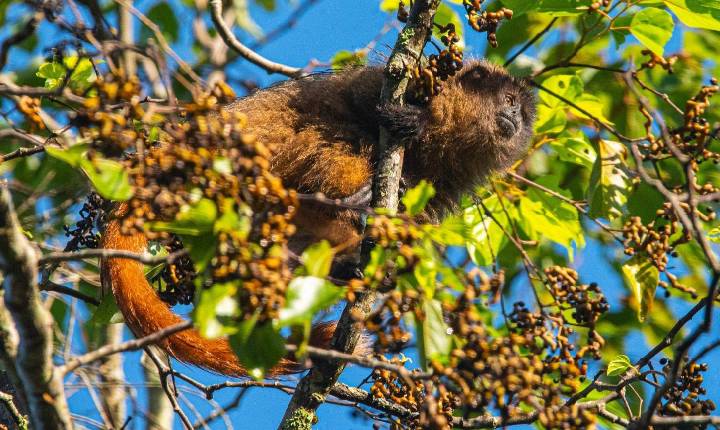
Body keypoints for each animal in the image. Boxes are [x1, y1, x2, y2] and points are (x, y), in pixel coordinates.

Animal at [100, 60, 536, 377]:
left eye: (521, 110)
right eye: (508, 99)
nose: (517, 118)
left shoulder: (450, 181)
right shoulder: (403, 79)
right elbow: (357, 102)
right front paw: (414, 122)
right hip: (259, 150)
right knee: (339, 135)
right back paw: (350, 204)